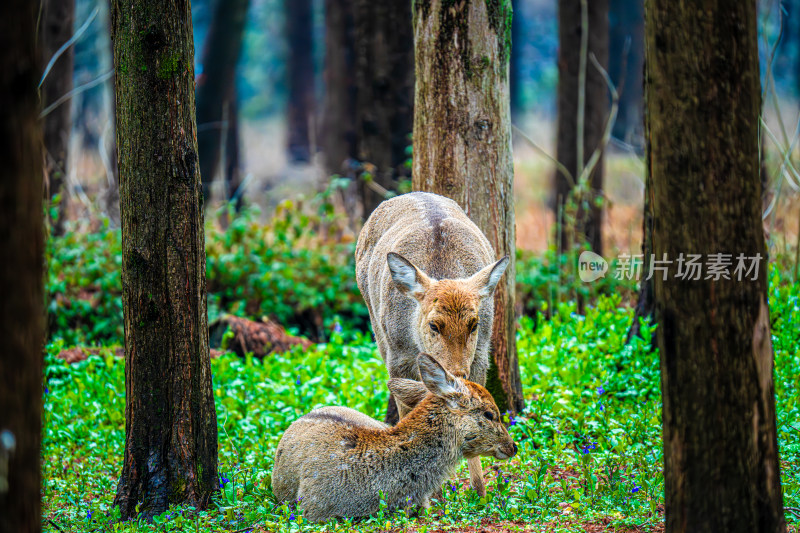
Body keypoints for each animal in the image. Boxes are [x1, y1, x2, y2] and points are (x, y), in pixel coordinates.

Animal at [354, 190, 510, 494]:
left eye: (474, 323)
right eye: (434, 325)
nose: (457, 372)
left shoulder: (481, 355)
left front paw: (480, 490)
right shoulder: (399, 356)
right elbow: (408, 410)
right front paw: (432, 491)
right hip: (376, 327)